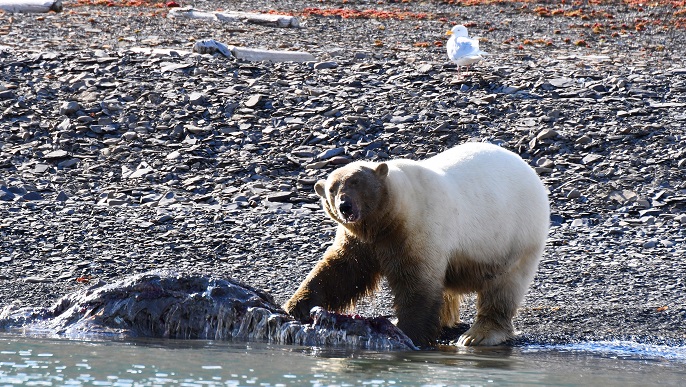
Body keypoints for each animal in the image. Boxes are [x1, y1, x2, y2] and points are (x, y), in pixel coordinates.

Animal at [286, 142, 552, 348]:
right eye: (332, 188)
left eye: (357, 182)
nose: (345, 206)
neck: (391, 215)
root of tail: (530, 171)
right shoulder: (361, 240)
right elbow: (341, 271)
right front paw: (295, 306)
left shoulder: (418, 228)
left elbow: (417, 282)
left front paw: (408, 333)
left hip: (515, 234)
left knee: (504, 286)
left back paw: (478, 335)